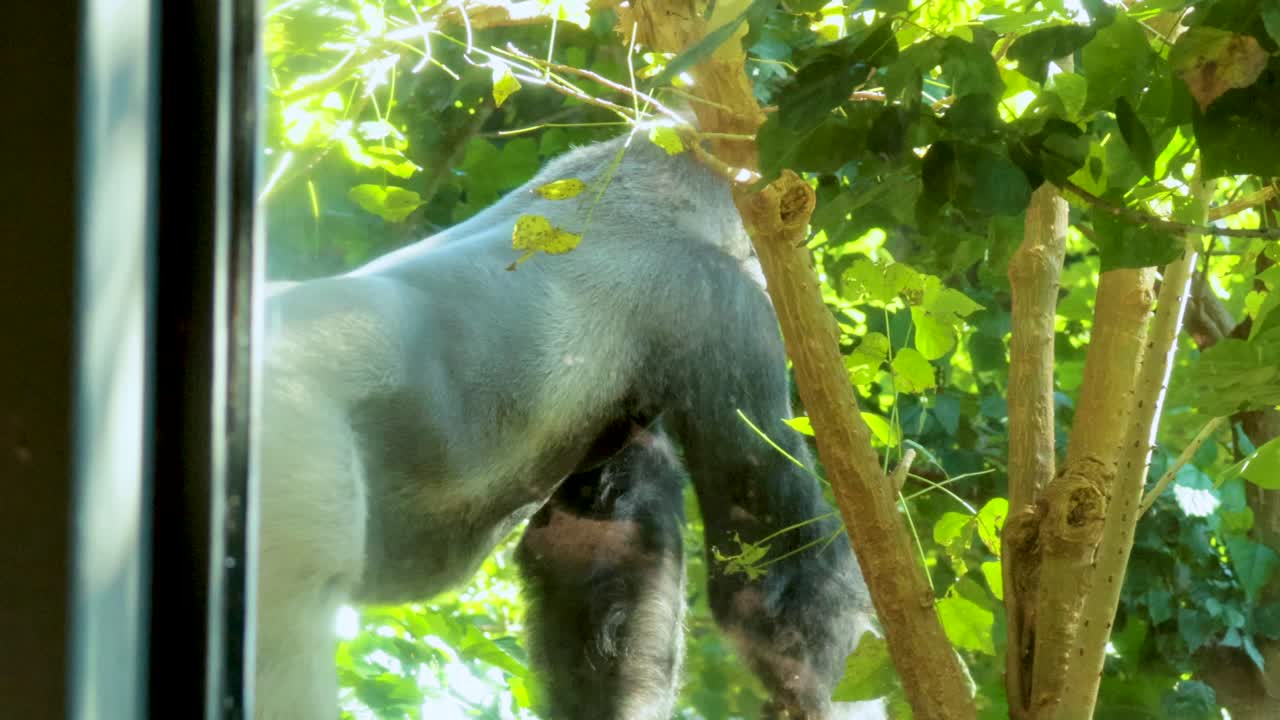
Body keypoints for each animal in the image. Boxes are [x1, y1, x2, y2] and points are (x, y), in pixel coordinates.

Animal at [256, 129, 879, 719]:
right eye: (749, 256)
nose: (763, 266)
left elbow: (599, 547)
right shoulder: (722, 303)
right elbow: (777, 573)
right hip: (291, 436)